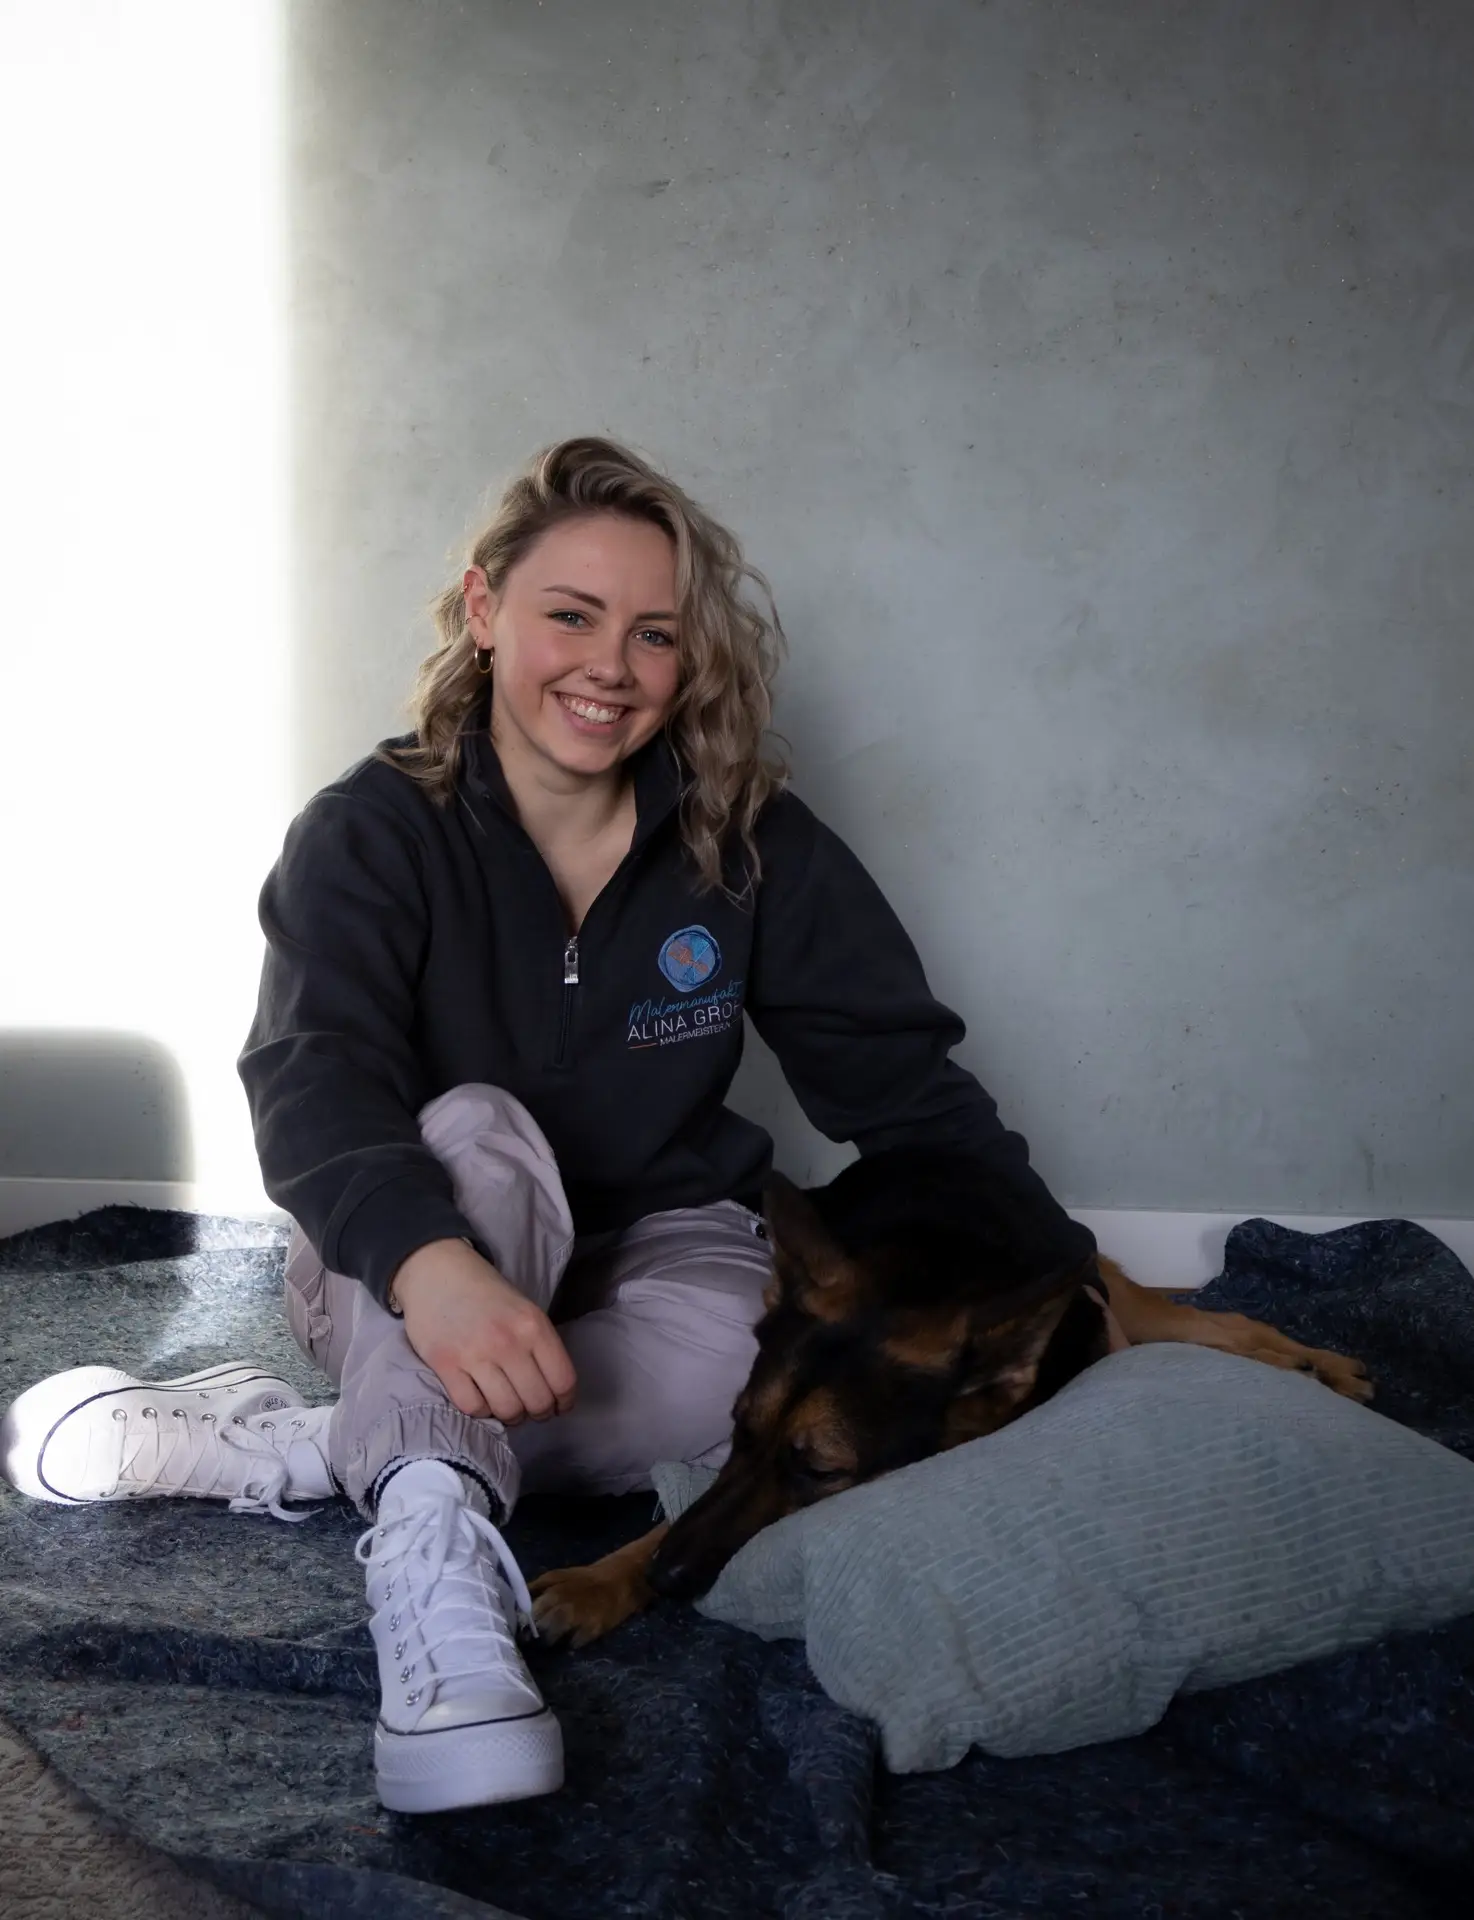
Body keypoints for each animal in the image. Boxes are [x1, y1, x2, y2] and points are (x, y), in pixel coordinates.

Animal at [530, 1150, 1370, 1647]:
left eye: (820, 1472)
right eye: (737, 1431)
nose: (667, 1580)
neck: (927, 1275)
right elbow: (680, 1514)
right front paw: (604, 1577)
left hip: (1135, 1311)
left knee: (1226, 1324)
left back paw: (1320, 1366)